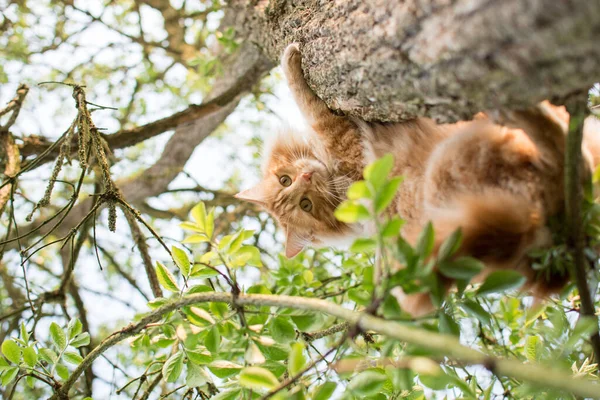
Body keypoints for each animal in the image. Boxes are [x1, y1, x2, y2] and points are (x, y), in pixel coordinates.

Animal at [237, 43, 596, 318]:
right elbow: (309, 104)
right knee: (568, 159)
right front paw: (290, 62)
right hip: (452, 164)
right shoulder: (345, 142)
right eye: (305, 204)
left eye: (286, 181)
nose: (307, 176)